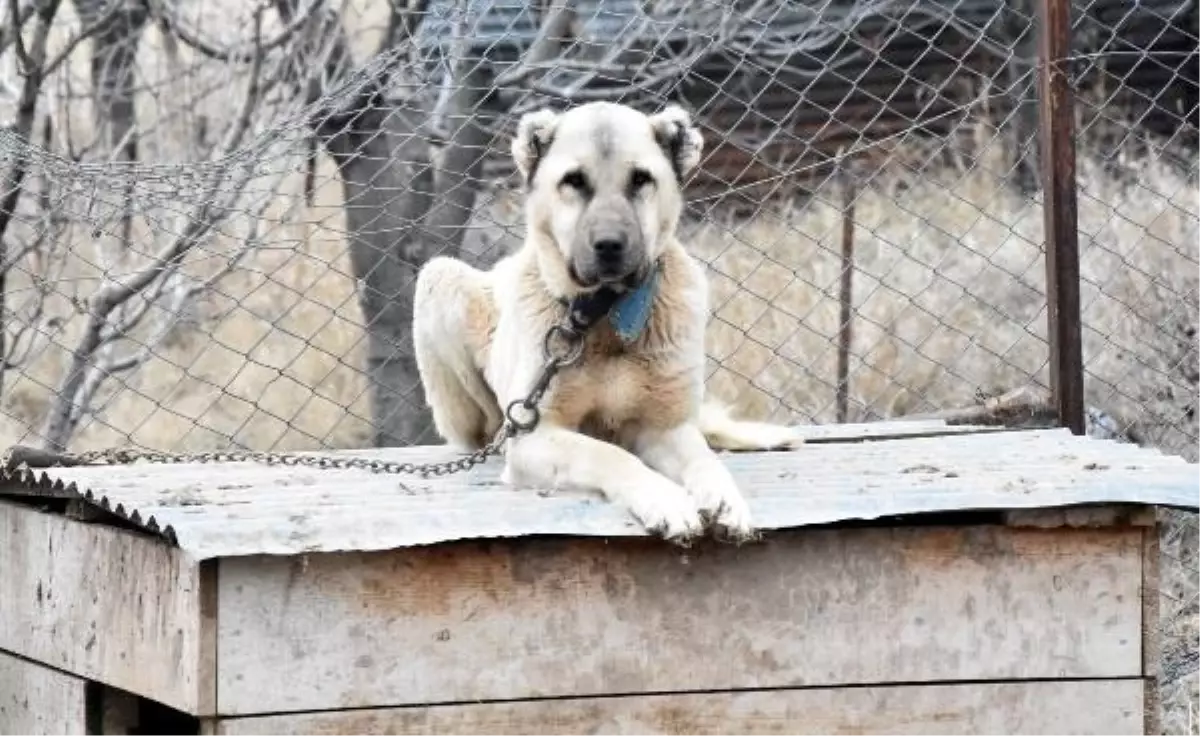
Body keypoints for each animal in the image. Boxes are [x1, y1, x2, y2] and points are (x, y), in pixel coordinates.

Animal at [412, 100, 806, 540]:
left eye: (641, 180)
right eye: (573, 181)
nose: (609, 246)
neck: (601, 315)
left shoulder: (665, 429)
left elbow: (703, 460)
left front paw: (724, 500)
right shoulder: (536, 436)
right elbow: (608, 455)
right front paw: (666, 499)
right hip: (440, 278)